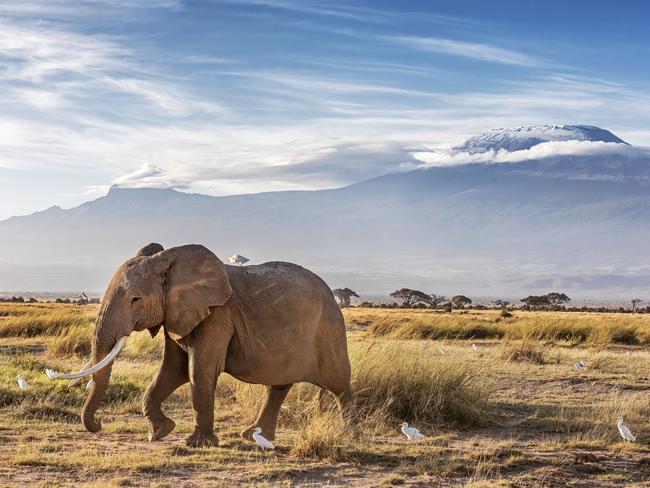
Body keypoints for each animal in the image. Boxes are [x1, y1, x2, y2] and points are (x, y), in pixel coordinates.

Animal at [48, 244, 352, 446]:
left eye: (135, 300)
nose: (98, 424)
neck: (169, 261)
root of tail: (331, 293)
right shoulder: (176, 315)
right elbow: (173, 370)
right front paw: (159, 433)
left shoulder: (217, 314)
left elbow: (199, 370)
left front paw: (197, 444)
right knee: (278, 386)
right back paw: (253, 436)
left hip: (329, 329)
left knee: (339, 384)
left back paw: (348, 433)